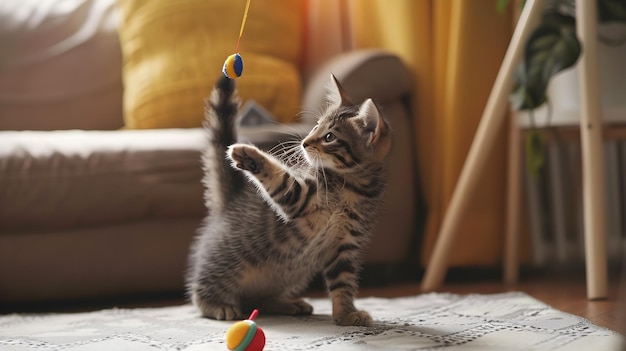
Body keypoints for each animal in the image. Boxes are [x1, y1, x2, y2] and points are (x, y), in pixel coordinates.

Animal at [185, 74, 390, 328]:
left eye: (329, 137)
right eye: (315, 126)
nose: (305, 142)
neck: (350, 186)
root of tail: (230, 201)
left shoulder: (345, 244)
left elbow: (343, 282)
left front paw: (346, 314)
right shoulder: (300, 198)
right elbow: (279, 176)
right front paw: (249, 155)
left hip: (292, 274)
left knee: (258, 300)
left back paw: (286, 303)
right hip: (232, 261)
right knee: (203, 290)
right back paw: (216, 305)